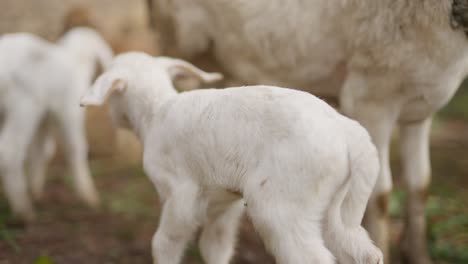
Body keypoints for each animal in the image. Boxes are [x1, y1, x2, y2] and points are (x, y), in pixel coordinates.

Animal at [0, 26, 113, 221]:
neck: (76, 59)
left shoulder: (44, 119)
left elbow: (42, 150)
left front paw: (35, 189)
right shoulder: (69, 111)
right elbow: (75, 148)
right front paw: (88, 195)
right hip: (24, 106)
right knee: (9, 151)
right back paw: (23, 210)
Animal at [81, 52, 384, 264]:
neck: (156, 111)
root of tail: (349, 133)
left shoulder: (180, 194)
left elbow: (164, 243)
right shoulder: (223, 203)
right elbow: (215, 246)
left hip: (283, 204)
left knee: (312, 257)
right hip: (335, 205)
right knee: (364, 252)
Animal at [147, 0, 468, 262]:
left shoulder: (419, 109)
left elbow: (420, 186)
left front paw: (420, 257)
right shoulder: (371, 98)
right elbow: (381, 195)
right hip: (181, 36)